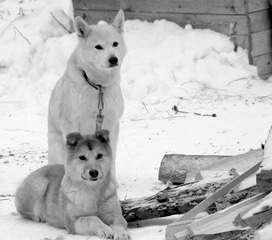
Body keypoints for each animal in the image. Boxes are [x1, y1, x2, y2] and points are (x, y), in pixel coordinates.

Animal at [47, 10, 126, 178]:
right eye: (98, 47)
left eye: (115, 44)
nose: (113, 59)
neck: (98, 86)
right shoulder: (70, 124)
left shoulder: (112, 124)